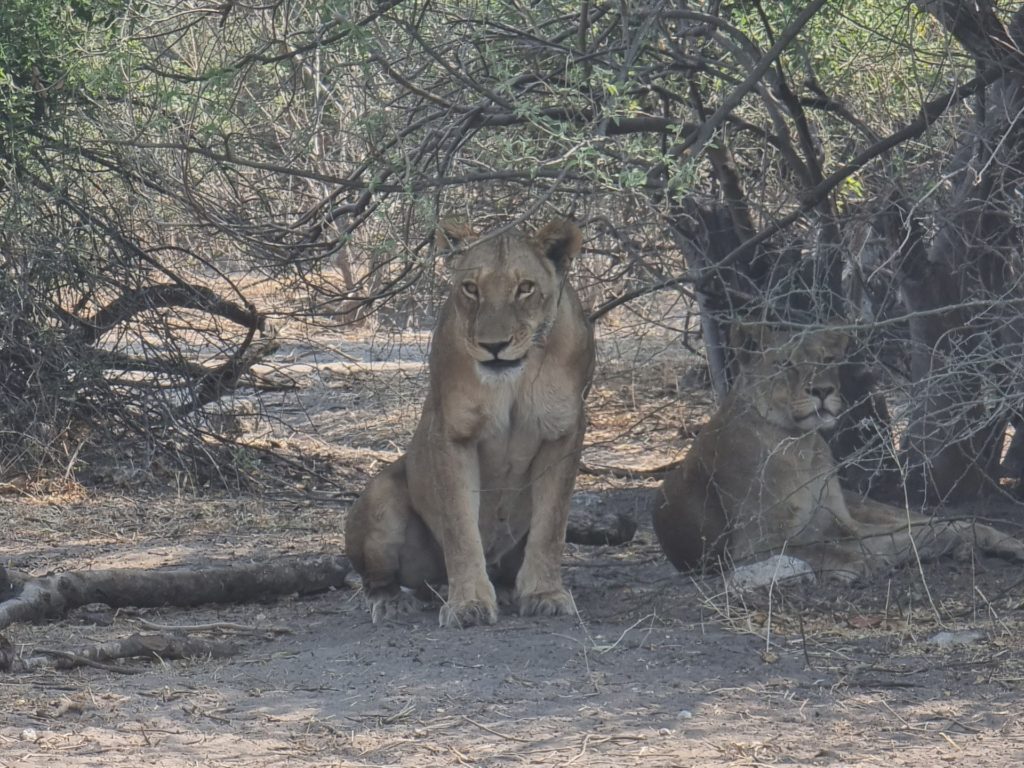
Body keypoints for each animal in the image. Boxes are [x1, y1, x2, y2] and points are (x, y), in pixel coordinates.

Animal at [348, 219, 598, 626]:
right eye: (471, 288)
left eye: (525, 288)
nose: (493, 346)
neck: (515, 377)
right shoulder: (452, 431)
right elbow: (460, 528)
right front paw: (468, 603)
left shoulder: (565, 430)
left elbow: (552, 526)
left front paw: (545, 594)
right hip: (380, 496)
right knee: (381, 579)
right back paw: (392, 603)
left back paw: (508, 589)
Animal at [651, 325, 1024, 581]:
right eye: (785, 363)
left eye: (827, 359)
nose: (822, 390)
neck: (800, 446)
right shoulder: (754, 546)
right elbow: (823, 548)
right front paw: (865, 562)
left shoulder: (844, 524)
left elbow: (895, 538)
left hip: (868, 506)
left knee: (945, 521)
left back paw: (998, 542)